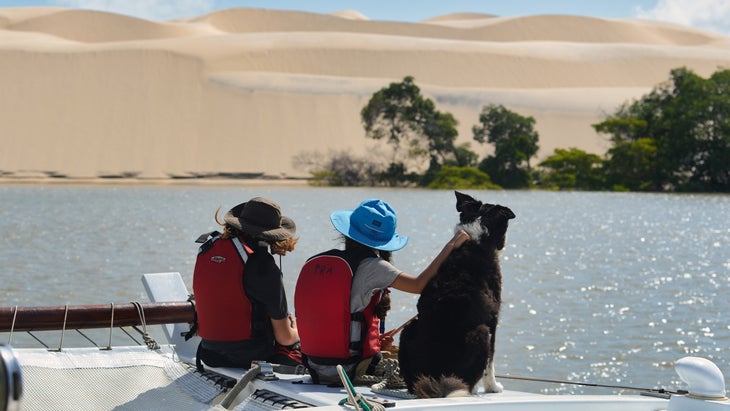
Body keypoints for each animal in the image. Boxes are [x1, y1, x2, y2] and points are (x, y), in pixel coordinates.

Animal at [398, 192, 512, 398]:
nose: (503, 244)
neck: (476, 237)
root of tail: (436, 378)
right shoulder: (493, 319)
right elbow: (490, 363)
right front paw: (493, 387)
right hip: (481, 332)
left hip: (408, 329)